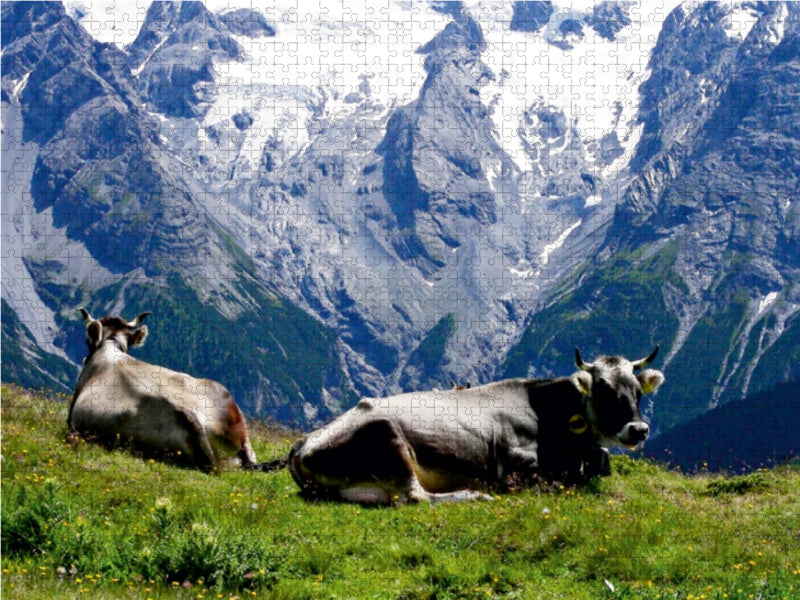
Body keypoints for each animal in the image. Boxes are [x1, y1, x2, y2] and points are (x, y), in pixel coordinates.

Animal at [270, 348, 663, 504]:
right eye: (604, 390)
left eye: (637, 391)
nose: (639, 430)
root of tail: (303, 444)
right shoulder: (515, 462)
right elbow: (561, 482)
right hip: (386, 435)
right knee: (415, 497)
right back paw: (474, 494)